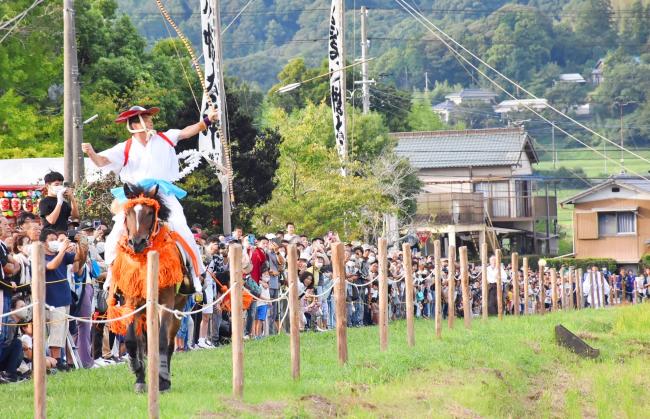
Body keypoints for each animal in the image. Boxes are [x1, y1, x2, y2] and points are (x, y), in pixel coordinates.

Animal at [106, 184, 195, 394]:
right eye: (129, 212)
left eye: (149, 213)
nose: (136, 243)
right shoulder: (131, 302)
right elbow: (132, 342)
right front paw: (138, 374)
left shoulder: (166, 303)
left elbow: (161, 341)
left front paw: (162, 380)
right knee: (143, 342)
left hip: (178, 307)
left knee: (168, 343)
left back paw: (164, 377)